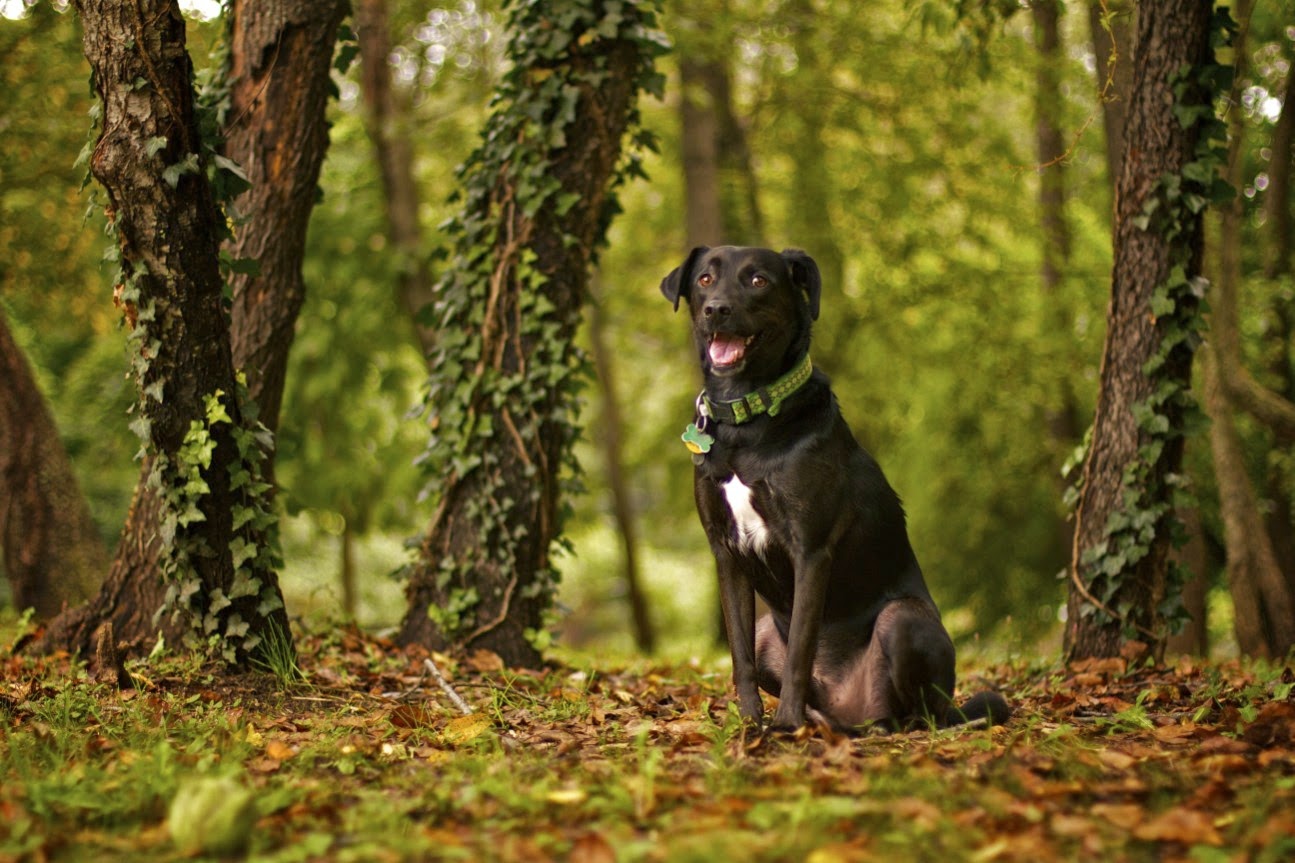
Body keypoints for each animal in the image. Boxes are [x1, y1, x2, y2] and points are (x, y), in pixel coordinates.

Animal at [657, 244, 1010, 730]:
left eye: (758, 280)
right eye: (705, 280)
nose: (716, 310)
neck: (746, 423)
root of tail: (848, 707)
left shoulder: (810, 549)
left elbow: (800, 652)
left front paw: (784, 725)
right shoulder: (725, 552)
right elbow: (739, 656)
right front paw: (749, 724)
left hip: (903, 621)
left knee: (916, 713)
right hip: (769, 631)